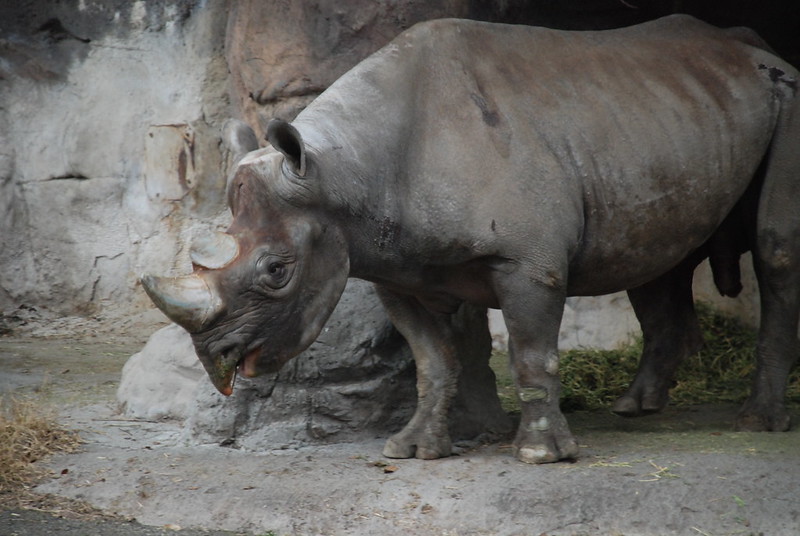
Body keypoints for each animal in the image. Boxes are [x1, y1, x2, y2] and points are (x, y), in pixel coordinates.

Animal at [142, 15, 800, 463]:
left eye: (277, 271)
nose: (216, 359)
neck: (339, 174)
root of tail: (760, 50)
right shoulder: (398, 268)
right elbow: (434, 359)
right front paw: (413, 450)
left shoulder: (528, 260)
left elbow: (531, 351)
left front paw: (538, 454)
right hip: (667, 116)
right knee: (654, 256)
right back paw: (637, 407)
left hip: (789, 95)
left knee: (775, 251)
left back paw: (756, 423)